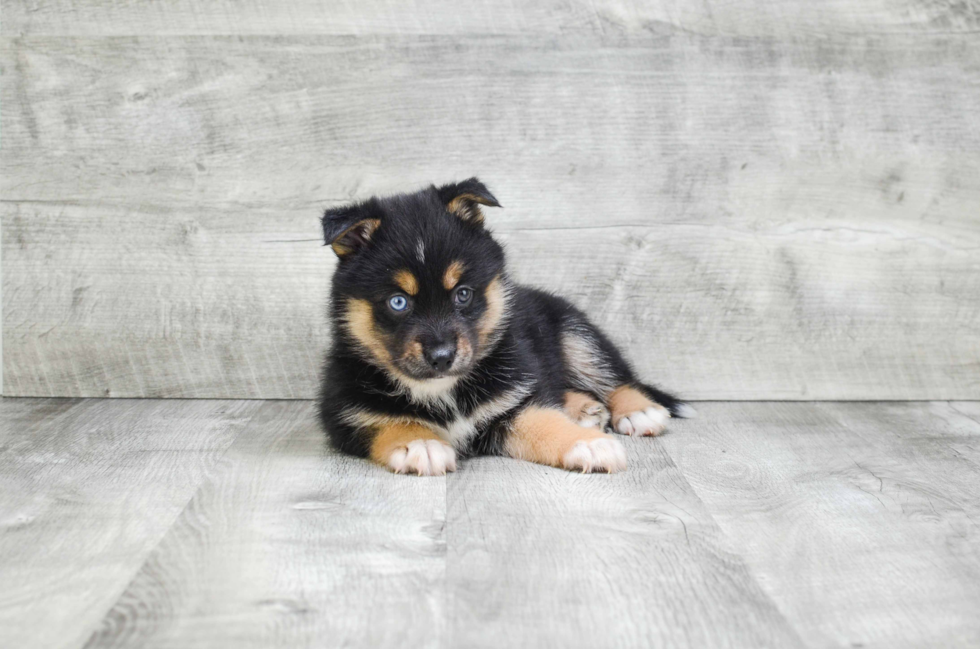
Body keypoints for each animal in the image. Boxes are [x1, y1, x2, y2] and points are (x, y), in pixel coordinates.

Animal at [318, 180, 692, 474]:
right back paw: (585, 408)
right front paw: (419, 443)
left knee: (613, 377)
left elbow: (546, 421)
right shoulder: (346, 416)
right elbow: (388, 423)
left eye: (463, 294)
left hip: (575, 334)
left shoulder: (511, 402)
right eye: (398, 302)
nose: (442, 356)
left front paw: (588, 444)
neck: (444, 393)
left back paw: (637, 410)